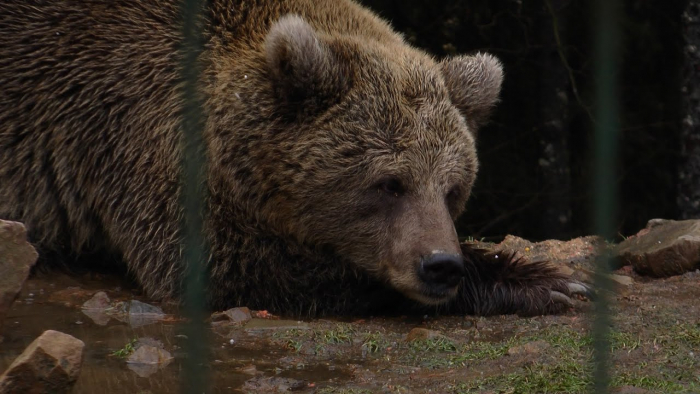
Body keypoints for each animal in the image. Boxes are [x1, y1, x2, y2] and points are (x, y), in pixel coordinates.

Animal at [0, 0, 592, 314]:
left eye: (452, 189)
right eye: (389, 183)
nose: (440, 265)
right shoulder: (137, 131)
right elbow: (224, 265)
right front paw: (546, 281)